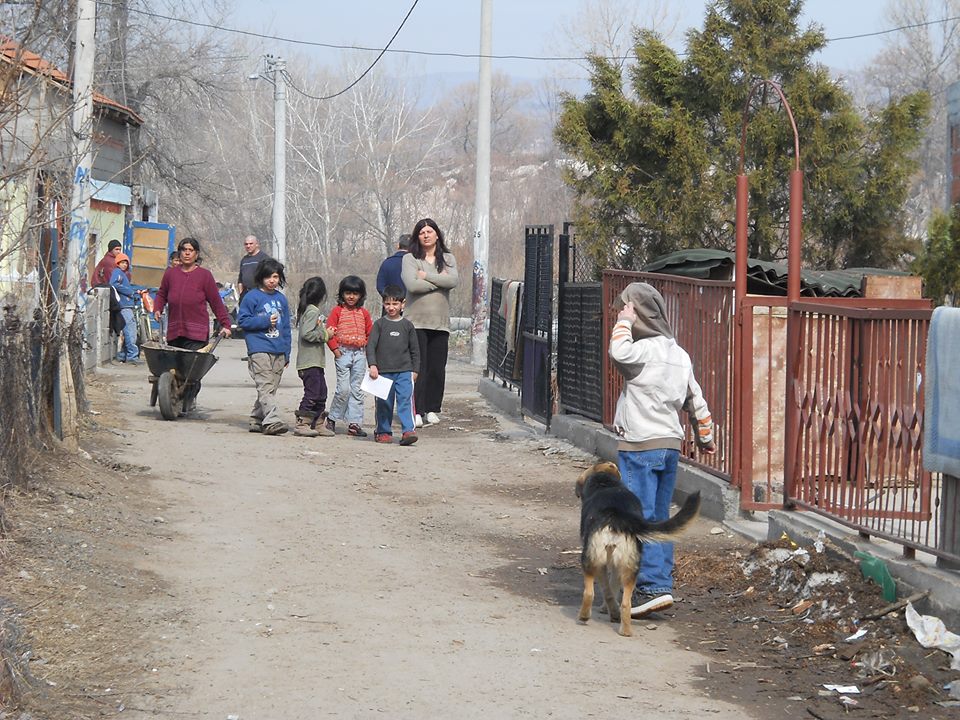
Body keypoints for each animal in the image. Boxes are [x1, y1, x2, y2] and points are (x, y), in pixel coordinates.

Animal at [572, 462, 700, 636]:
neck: (606, 484)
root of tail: (617, 516)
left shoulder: (601, 564)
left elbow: (607, 590)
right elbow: (612, 589)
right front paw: (607, 609)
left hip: (591, 559)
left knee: (589, 593)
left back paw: (585, 616)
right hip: (629, 566)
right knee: (626, 604)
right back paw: (625, 629)